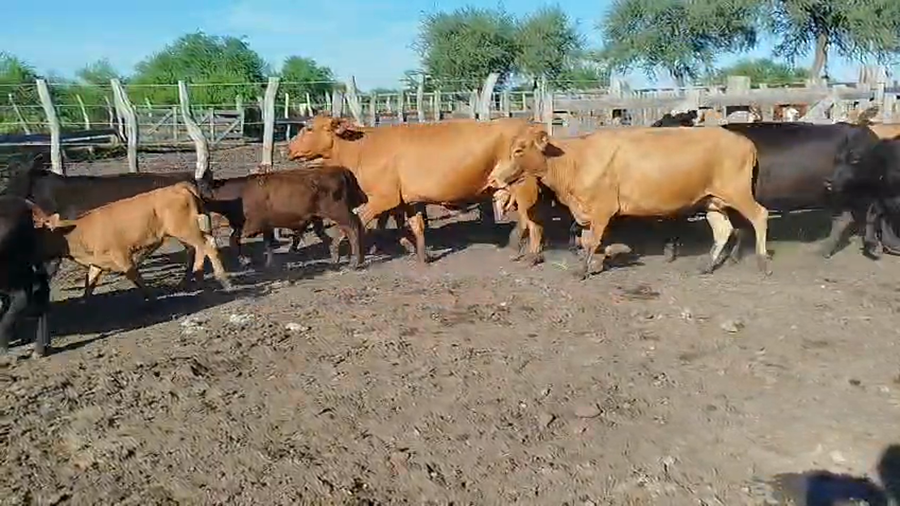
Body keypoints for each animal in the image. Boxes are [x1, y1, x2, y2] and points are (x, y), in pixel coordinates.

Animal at [32, 182, 231, 299]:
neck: (80, 231)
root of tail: (180, 186)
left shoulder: (122, 254)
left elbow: (134, 275)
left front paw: (151, 297)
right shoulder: (96, 262)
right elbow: (90, 283)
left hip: (185, 230)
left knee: (206, 246)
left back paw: (223, 281)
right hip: (191, 230)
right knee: (202, 246)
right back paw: (197, 278)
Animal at [233, 166, 366, 269]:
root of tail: (340, 170)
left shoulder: (251, 226)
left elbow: (235, 239)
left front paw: (243, 261)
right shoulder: (266, 226)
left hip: (339, 213)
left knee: (352, 229)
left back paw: (353, 263)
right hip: (325, 215)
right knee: (356, 225)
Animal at [287, 114, 546, 264]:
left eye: (309, 128)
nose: (287, 149)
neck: (362, 148)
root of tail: (532, 127)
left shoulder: (383, 199)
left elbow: (356, 222)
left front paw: (341, 253)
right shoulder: (408, 200)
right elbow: (415, 226)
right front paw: (421, 254)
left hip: (524, 185)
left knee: (533, 221)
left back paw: (531, 255)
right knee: (526, 219)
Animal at [488, 125, 771, 279]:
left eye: (519, 150)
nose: (493, 178)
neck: (575, 161)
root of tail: (745, 142)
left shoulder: (602, 209)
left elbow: (592, 241)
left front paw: (585, 269)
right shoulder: (587, 213)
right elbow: (589, 240)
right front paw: (601, 259)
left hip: (737, 192)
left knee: (759, 215)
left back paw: (761, 261)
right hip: (711, 200)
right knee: (723, 230)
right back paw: (708, 265)